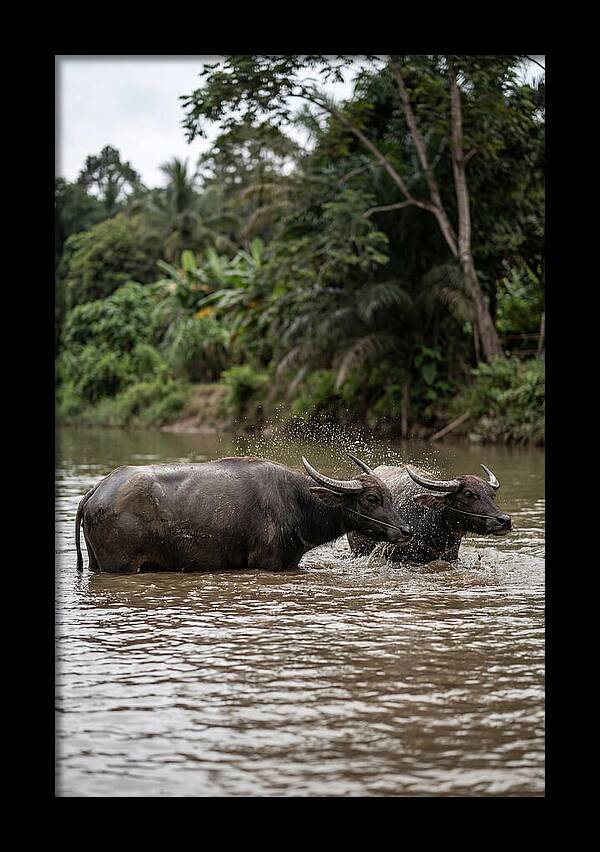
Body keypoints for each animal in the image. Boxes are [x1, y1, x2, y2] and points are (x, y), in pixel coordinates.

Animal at [75, 453, 412, 574]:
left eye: (390, 496)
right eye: (372, 498)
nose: (405, 530)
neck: (296, 503)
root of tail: (96, 490)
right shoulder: (266, 562)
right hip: (121, 566)